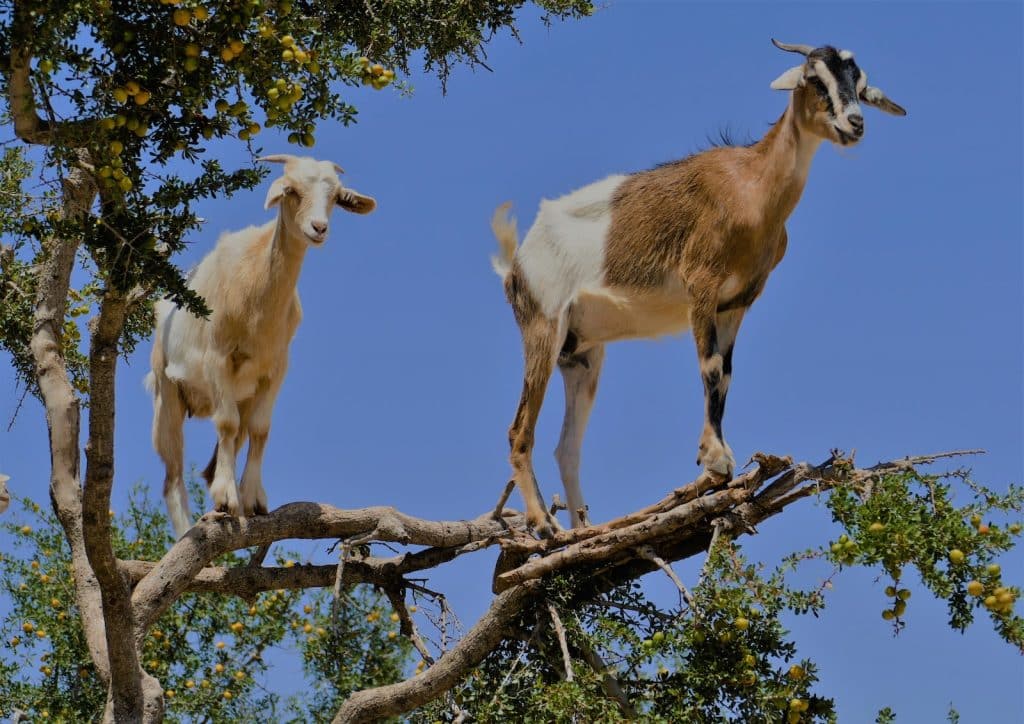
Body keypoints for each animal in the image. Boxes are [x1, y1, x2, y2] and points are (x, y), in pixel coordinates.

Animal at [146, 154, 378, 536]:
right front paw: (227, 498)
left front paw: (252, 499)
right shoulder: (217, 358)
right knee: (173, 475)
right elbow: (226, 424)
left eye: (335, 196)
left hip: (243, 392)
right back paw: (188, 529)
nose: (318, 228)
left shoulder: (275, 368)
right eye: (291, 191)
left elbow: (260, 429)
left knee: (221, 451)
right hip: (167, 391)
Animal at [493, 40, 905, 536]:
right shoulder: (701, 289)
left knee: (567, 447)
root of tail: (516, 263)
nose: (854, 123)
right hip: (544, 327)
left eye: (858, 84)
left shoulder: (738, 302)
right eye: (813, 78)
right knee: (519, 431)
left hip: (582, 354)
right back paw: (543, 526)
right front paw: (715, 459)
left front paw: (720, 456)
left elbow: (725, 374)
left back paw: (582, 530)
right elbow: (709, 369)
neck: (750, 187)